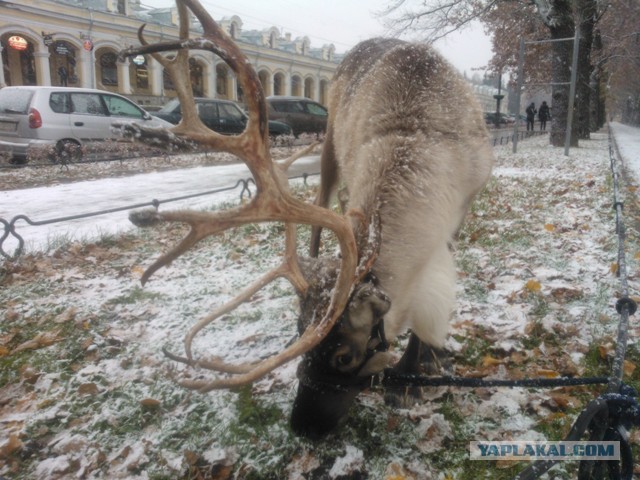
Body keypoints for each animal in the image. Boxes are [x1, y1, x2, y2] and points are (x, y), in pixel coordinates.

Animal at [121, 0, 493, 440]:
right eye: (300, 332)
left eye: (344, 357)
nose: (301, 425)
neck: (418, 136)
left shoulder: (463, 206)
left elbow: (432, 287)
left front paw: (420, 368)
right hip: (330, 144)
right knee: (319, 213)